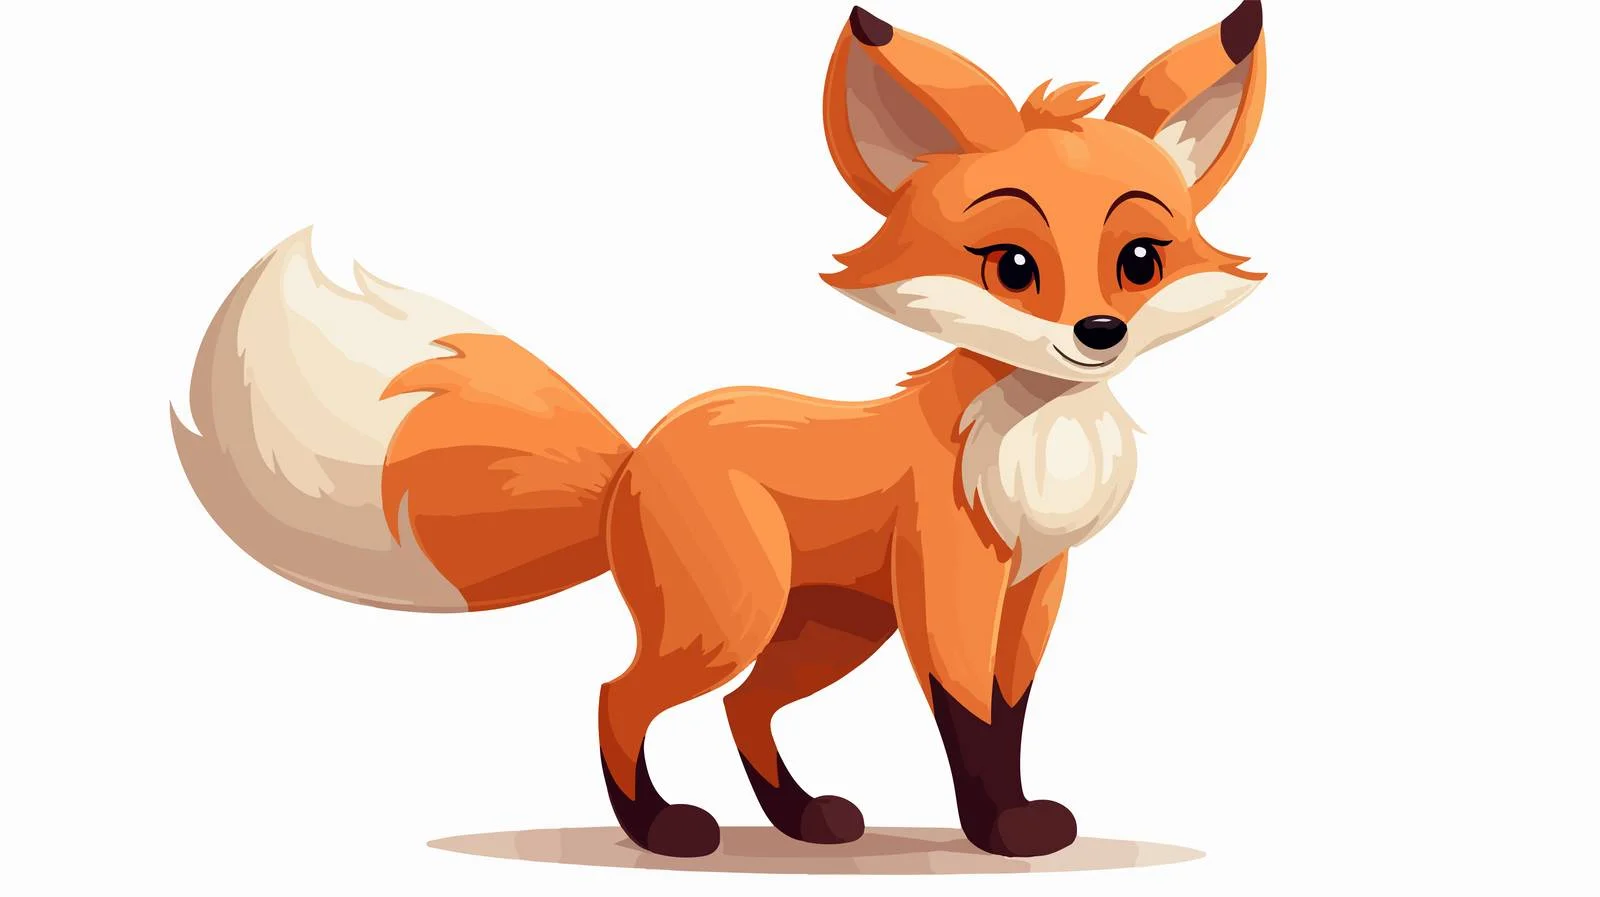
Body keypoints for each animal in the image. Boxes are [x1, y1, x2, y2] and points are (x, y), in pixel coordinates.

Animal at [173, 3, 1267, 859]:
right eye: (1011, 266)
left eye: (1139, 259)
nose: (1097, 333)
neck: (1034, 444)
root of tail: (633, 461)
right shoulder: (951, 580)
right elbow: (967, 717)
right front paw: (998, 832)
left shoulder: (1036, 581)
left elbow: (1009, 712)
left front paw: (1018, 815)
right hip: (730, 616)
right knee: (619, 693)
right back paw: (660, 829)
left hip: (827, 629)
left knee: (744, 706)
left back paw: (802, 820)